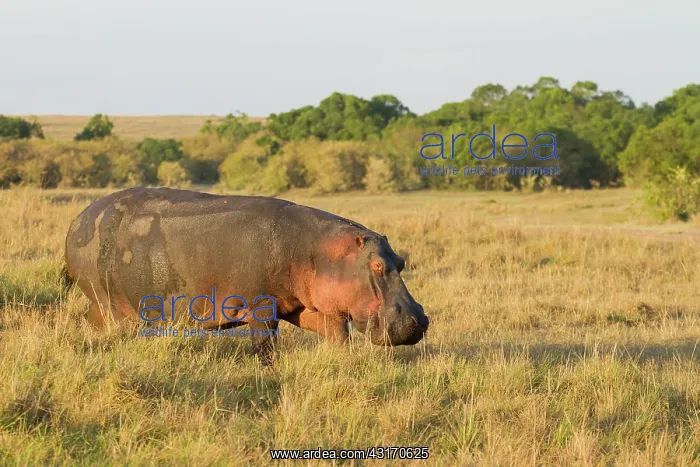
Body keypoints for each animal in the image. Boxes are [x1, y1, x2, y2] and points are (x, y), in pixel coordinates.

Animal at [64, 187, 429, 351]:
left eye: (401, 262)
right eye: (377, 265)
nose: (420, 319)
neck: (319, 251)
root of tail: (78, 219)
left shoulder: (303, 307)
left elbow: (337, 333)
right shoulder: (261, 306)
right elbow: (264, 345)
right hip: (105, 302)